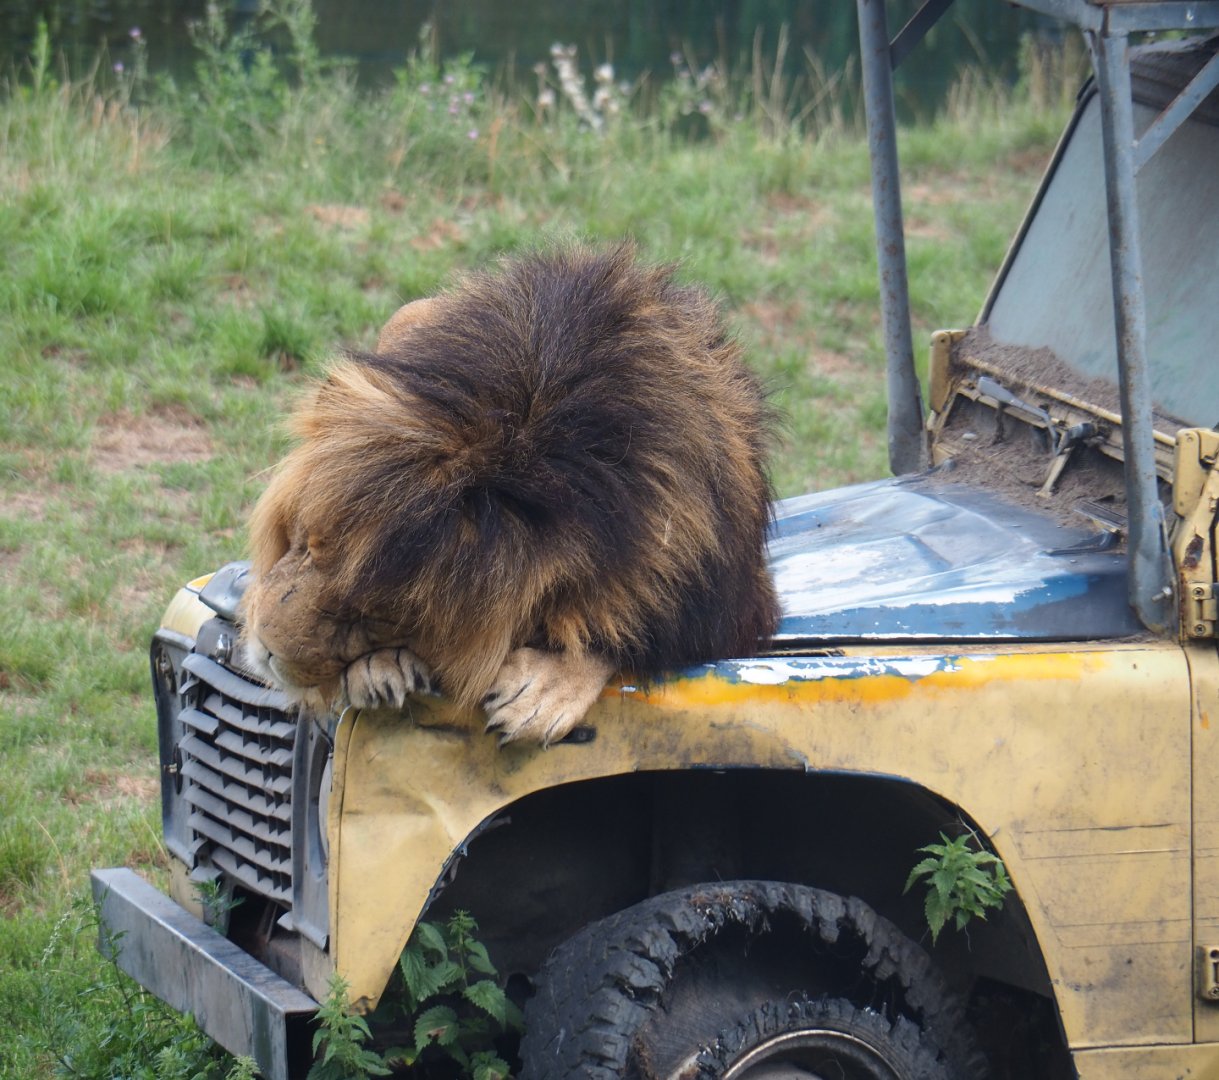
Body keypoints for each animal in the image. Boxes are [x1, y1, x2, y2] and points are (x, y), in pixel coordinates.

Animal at [241, 244, 779, 745]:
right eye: (306, 544)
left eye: (375, 619)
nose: (266, 648)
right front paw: (376, 669)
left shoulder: (728, 606)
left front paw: (544, 690)